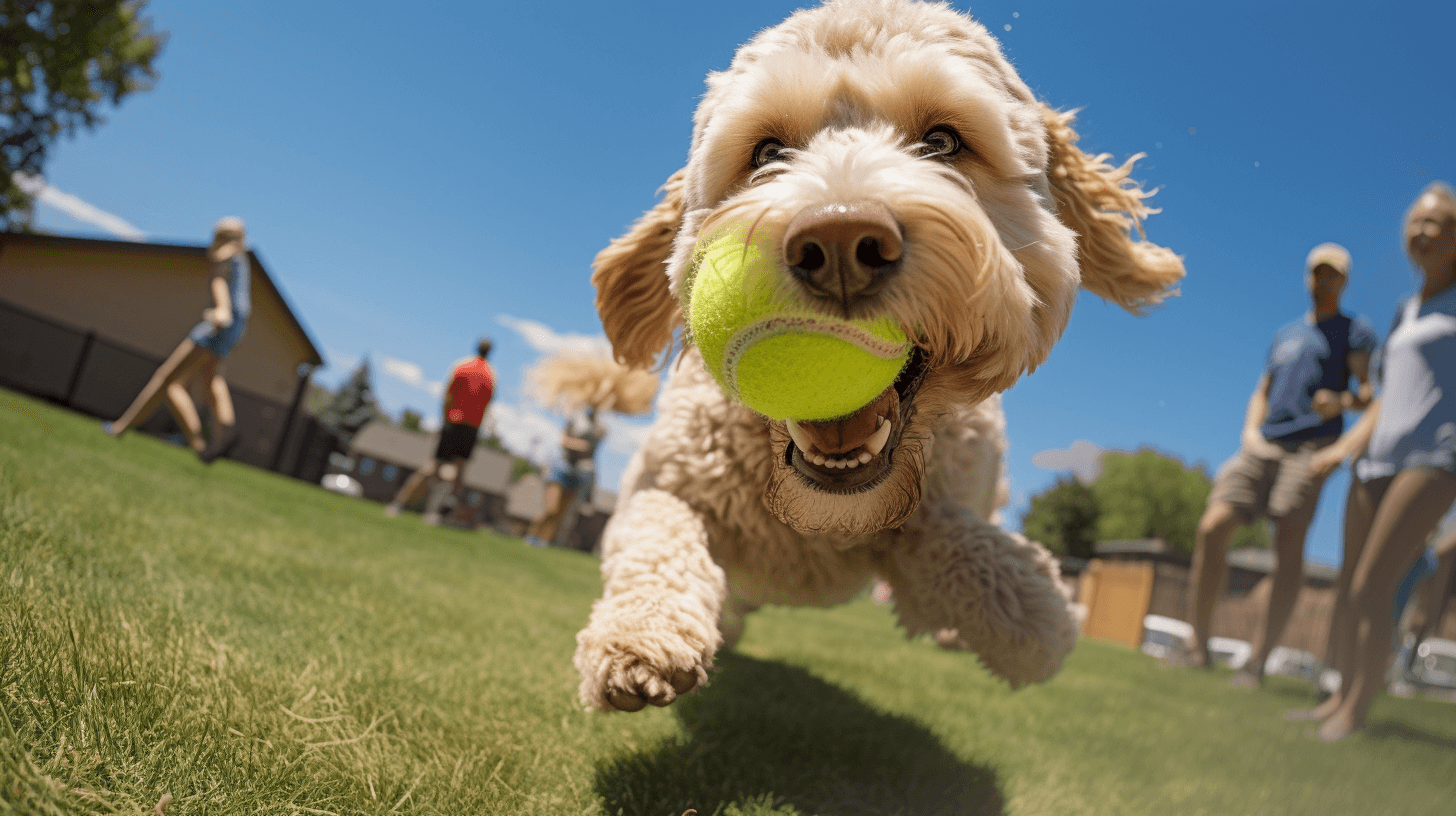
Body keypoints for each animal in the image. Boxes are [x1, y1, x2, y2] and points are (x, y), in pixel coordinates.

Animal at [567, 0, 1182, 711]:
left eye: (942, 142)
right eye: (768, 151)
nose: (839, 242)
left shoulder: (937, 514)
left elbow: (997, 582)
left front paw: (1032, 612)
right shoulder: (665, 477)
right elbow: (657, 530)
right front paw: (639, 637)